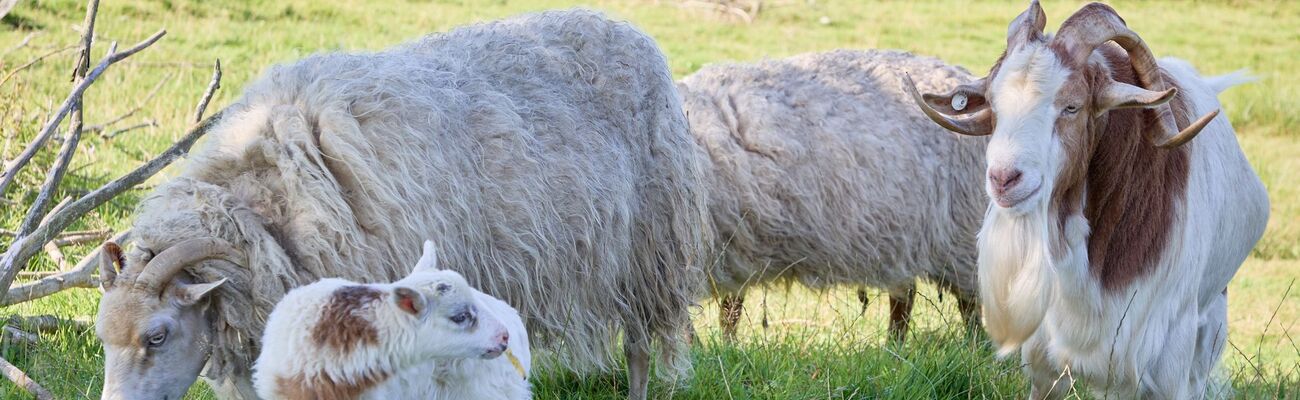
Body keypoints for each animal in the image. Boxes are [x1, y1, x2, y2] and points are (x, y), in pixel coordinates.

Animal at [676, 48, 987, 340]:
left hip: (961, 230)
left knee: (969, 302)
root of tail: (960, 74)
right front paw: (725, 346)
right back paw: (894, 348)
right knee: (904, 296)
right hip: (903, 235)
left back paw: (974, 346)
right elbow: (728, 311)